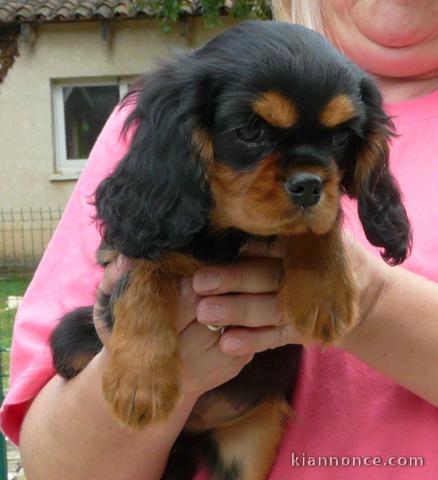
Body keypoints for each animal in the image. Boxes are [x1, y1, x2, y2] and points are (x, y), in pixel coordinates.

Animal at [51, 20, 410, 478]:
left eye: (342, 136)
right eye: (250, 132)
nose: (309, 185)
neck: (226, 230)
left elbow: (320, 225)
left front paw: (323, 294)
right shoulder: (127, 239)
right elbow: (143, 271)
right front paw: (141, 380)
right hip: (69, 340)